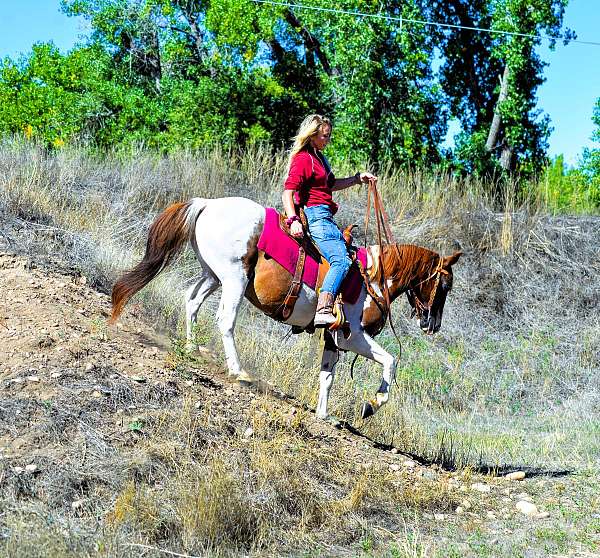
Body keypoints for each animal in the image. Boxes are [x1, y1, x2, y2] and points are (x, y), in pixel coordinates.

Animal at [110, 197, 462, 420]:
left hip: (213, 275)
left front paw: (323, 414)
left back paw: (192, 347)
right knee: (225, 320)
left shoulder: (332, 338)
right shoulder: (352, 336)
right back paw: (238, 371)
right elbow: (390, 361)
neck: (373, 277)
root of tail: (208, 203)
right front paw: (373, 404)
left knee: (192, 300)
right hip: (234, 278)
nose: (432, 325)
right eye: (445, 285)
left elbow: (327, 376)